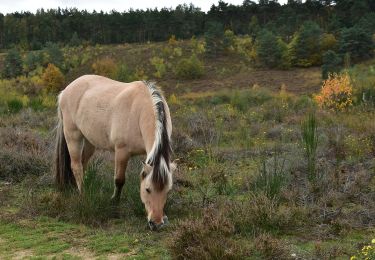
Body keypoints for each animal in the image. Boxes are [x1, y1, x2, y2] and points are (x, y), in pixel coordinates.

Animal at [54, 74, 176, 230]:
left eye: (167, 190)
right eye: (148, 189)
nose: (156, 223)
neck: (140, 110)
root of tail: (66, 90)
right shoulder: (121, 152)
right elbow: (119, 180)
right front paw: (114, 203)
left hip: (89, 141)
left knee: (82, 163)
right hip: (73, 136)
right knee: (76, 166)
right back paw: (83, 194)